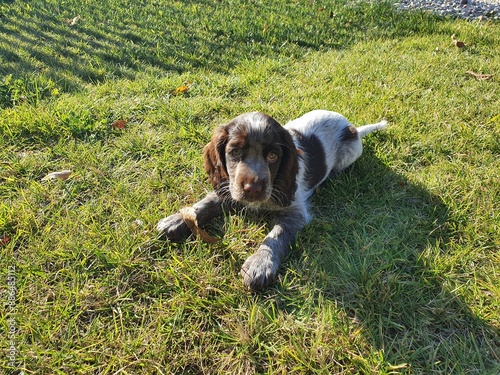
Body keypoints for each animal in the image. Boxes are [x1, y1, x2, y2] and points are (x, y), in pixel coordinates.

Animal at [156, 110, 386, 292]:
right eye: (235, 152)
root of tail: (352, 128)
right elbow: (207, 203)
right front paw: (177, 219)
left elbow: (276, 235)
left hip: (350, 153)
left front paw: (260, 264)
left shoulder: (294, 211)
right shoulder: (230, 188)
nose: (253, 188)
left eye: (273, 156)